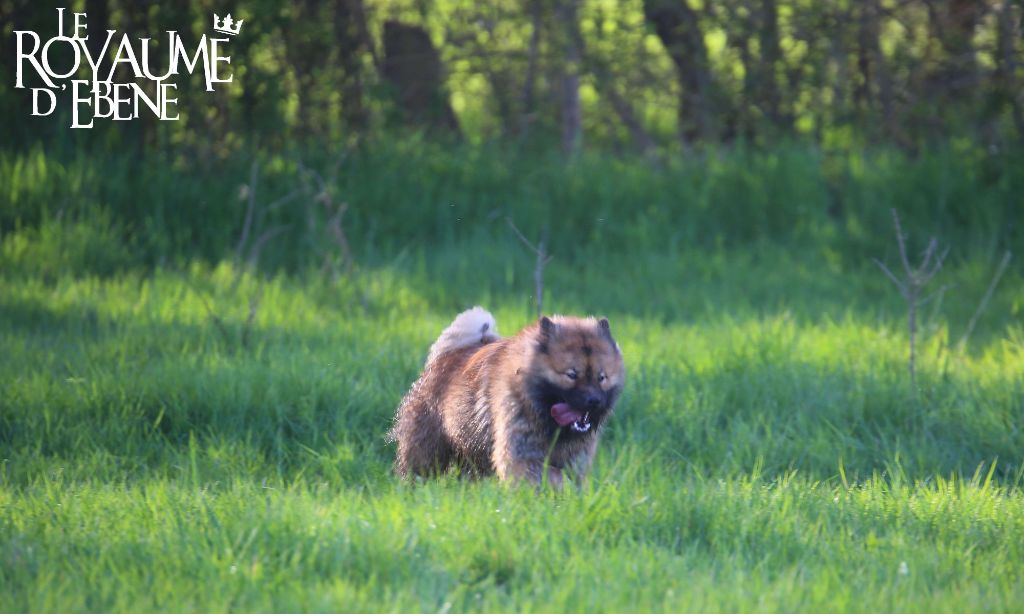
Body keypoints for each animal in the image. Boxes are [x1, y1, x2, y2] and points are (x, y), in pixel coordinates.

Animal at [387, 309, 622, 487]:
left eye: (601, 377)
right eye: (572, 375)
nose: (594, 401)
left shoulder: (574, 461)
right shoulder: (521, 455)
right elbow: (549, 477)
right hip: (429, 450)